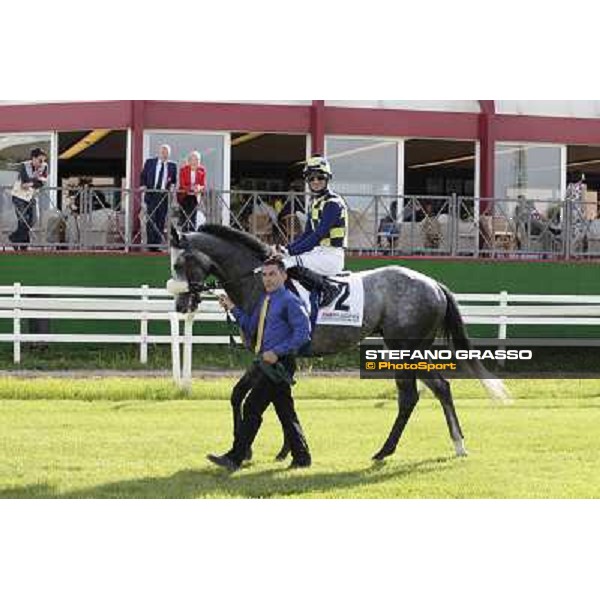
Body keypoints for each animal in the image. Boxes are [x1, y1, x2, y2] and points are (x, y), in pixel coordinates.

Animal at [170, 223, 510, 462]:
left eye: (178, 264)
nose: (181, 304)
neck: (259, 283)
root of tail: (434, 284)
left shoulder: (268, 353)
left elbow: (254, 397)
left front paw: (253, 449)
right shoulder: (270, 356)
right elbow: (250, 396)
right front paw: (276, 450)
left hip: (405, 349)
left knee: (423, 393)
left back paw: (420, 447)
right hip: (409, 350)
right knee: (426, 392)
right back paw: (424, 447)